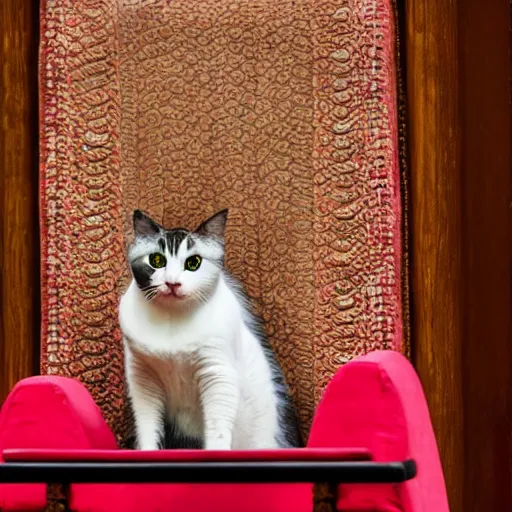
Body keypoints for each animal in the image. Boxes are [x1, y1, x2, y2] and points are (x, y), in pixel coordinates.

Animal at [118, 207, 302, 448]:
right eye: (156, 260)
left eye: (193, 262)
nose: (172, 283)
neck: (171, 318)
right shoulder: (142, 378)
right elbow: (148, 428)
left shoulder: (218, 374)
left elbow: (218, 429)